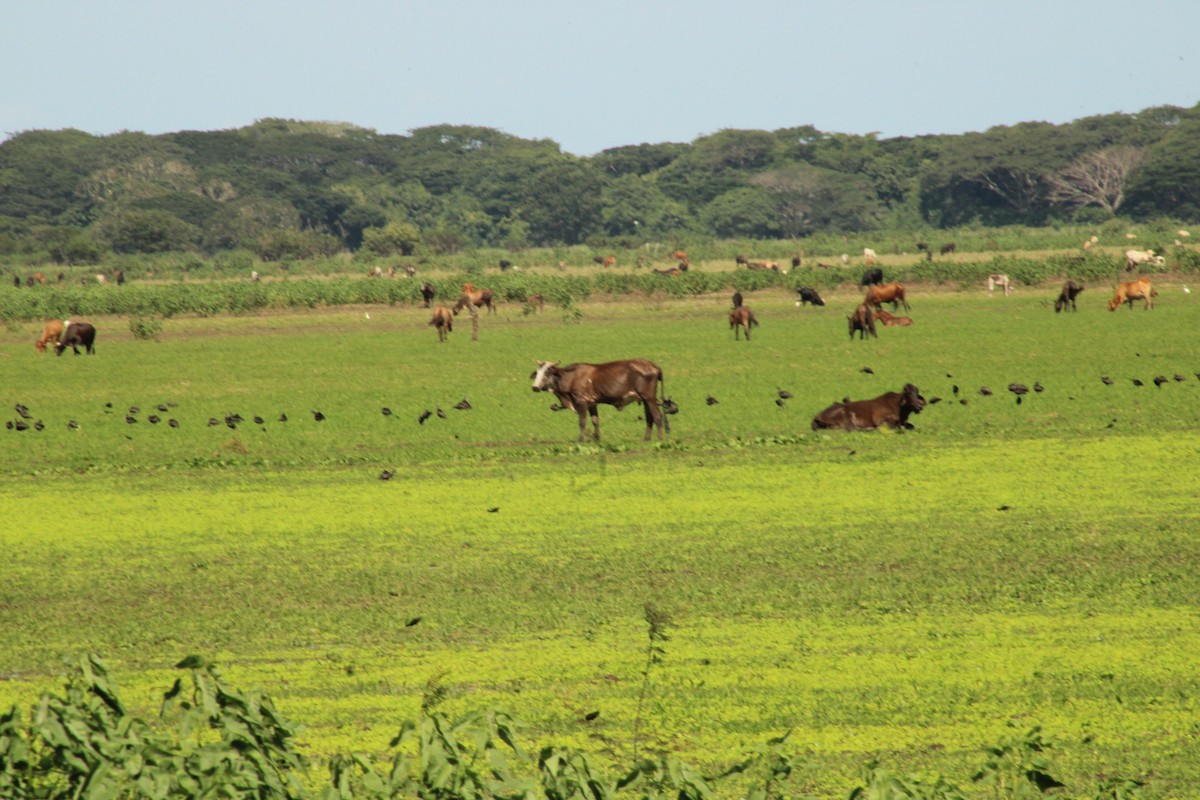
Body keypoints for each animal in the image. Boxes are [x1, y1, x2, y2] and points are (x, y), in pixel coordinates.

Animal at [532, 357, 672, 441]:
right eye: (537, 373)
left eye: (547, 373)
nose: (535, 387)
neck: (571, 377)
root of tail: (652, 365)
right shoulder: (592, 403)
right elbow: (595, 420)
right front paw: (597, 438)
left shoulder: (581, 401)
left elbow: (582, 421)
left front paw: (581, 439)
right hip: (645, 400)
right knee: (649, 417)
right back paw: (646, 438)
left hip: (650, 398)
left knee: (657, 416)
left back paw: (660, 438)